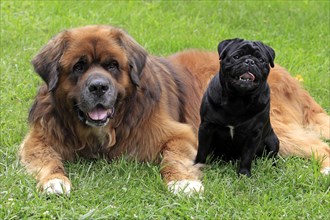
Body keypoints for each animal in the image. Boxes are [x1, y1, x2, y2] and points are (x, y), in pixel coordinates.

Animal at [18, 24, 330, 195]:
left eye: (112, 65)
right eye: (79, 66)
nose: (98, 87)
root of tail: (289, 77)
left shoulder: (180, 133)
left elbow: (173, 158)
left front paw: (182, 183)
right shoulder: (39, 138)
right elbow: (46, 159)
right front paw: (54, 181)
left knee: (319, 145)